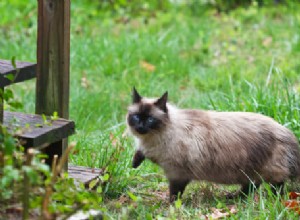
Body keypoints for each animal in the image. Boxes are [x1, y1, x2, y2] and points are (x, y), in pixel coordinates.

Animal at [126, 87, 300, 201]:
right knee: (251, 187)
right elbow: (139, 153)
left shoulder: (176, 174)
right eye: (136, 117)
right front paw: (134, 163)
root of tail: (288, 134)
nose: (140, 127)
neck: (153, 139)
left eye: (150, 119)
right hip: (249, 173)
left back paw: (273, 199)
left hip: (269, 172)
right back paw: (233, 197)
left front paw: (171, 206)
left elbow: (175, 194)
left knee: (275, 186)